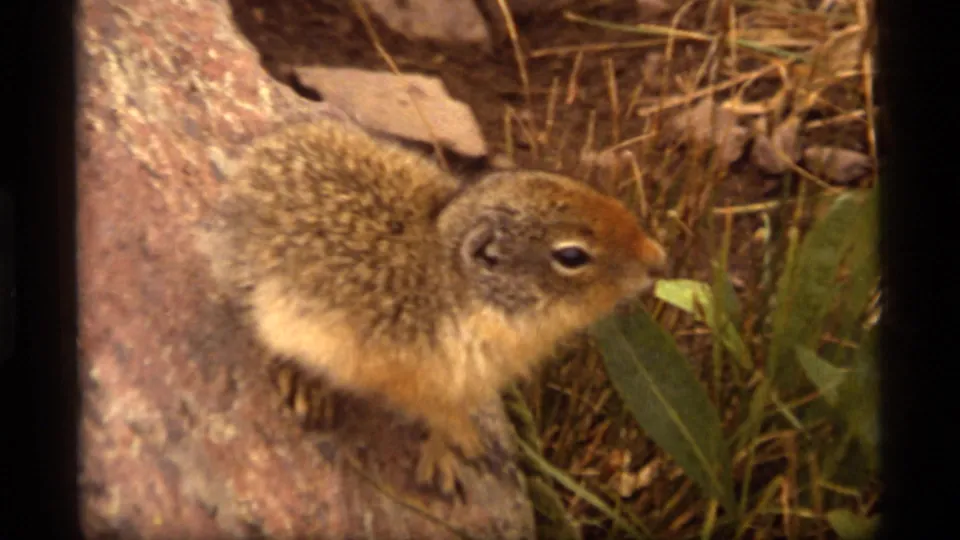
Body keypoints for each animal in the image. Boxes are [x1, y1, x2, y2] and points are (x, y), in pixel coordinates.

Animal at [198, 118, 667, 496]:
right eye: (571, 256)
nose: (659, 260)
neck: (460, 289)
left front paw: (458, 449)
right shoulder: (417, 378)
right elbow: (438, 416)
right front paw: (452, 454)